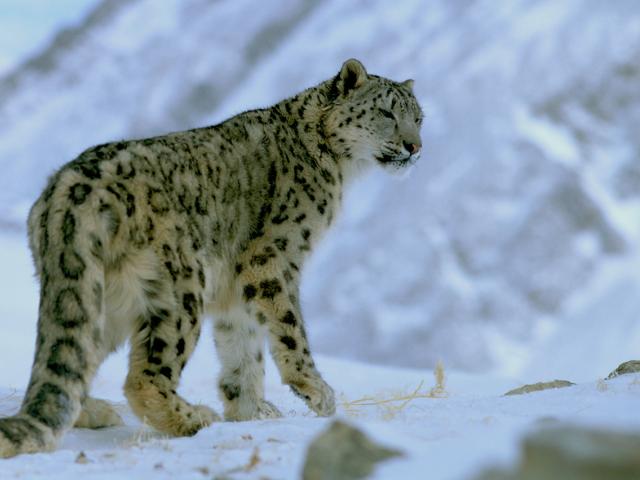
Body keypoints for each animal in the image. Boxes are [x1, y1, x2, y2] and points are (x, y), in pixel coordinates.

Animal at [0, 58, 422, 458]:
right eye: (386, 113)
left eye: (418, 118)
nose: (415, 147)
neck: (338, 170)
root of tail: (68, 190)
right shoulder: (273, 259)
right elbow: (290, 326)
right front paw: (317, 392)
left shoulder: (235, 285)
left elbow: (242, 345)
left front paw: (251, 409)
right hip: (181, 287)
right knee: (144, 377)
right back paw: (194, 417)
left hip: (101, 297)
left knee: (76, 357)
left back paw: (96, 411)